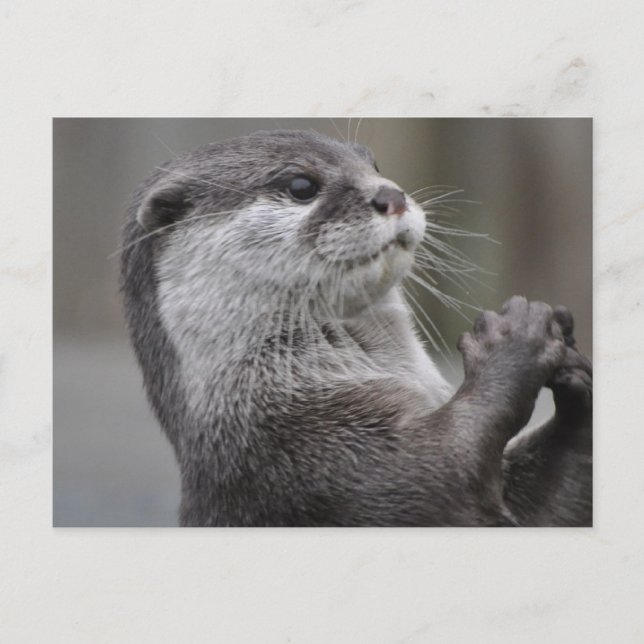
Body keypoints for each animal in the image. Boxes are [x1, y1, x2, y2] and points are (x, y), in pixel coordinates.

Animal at [120, 129, 592, 526]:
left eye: (374, 166)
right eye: (301, 186)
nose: (392, 194)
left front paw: (575, 374)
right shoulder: (311, 462)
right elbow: (443, 469)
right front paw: (515, 339)